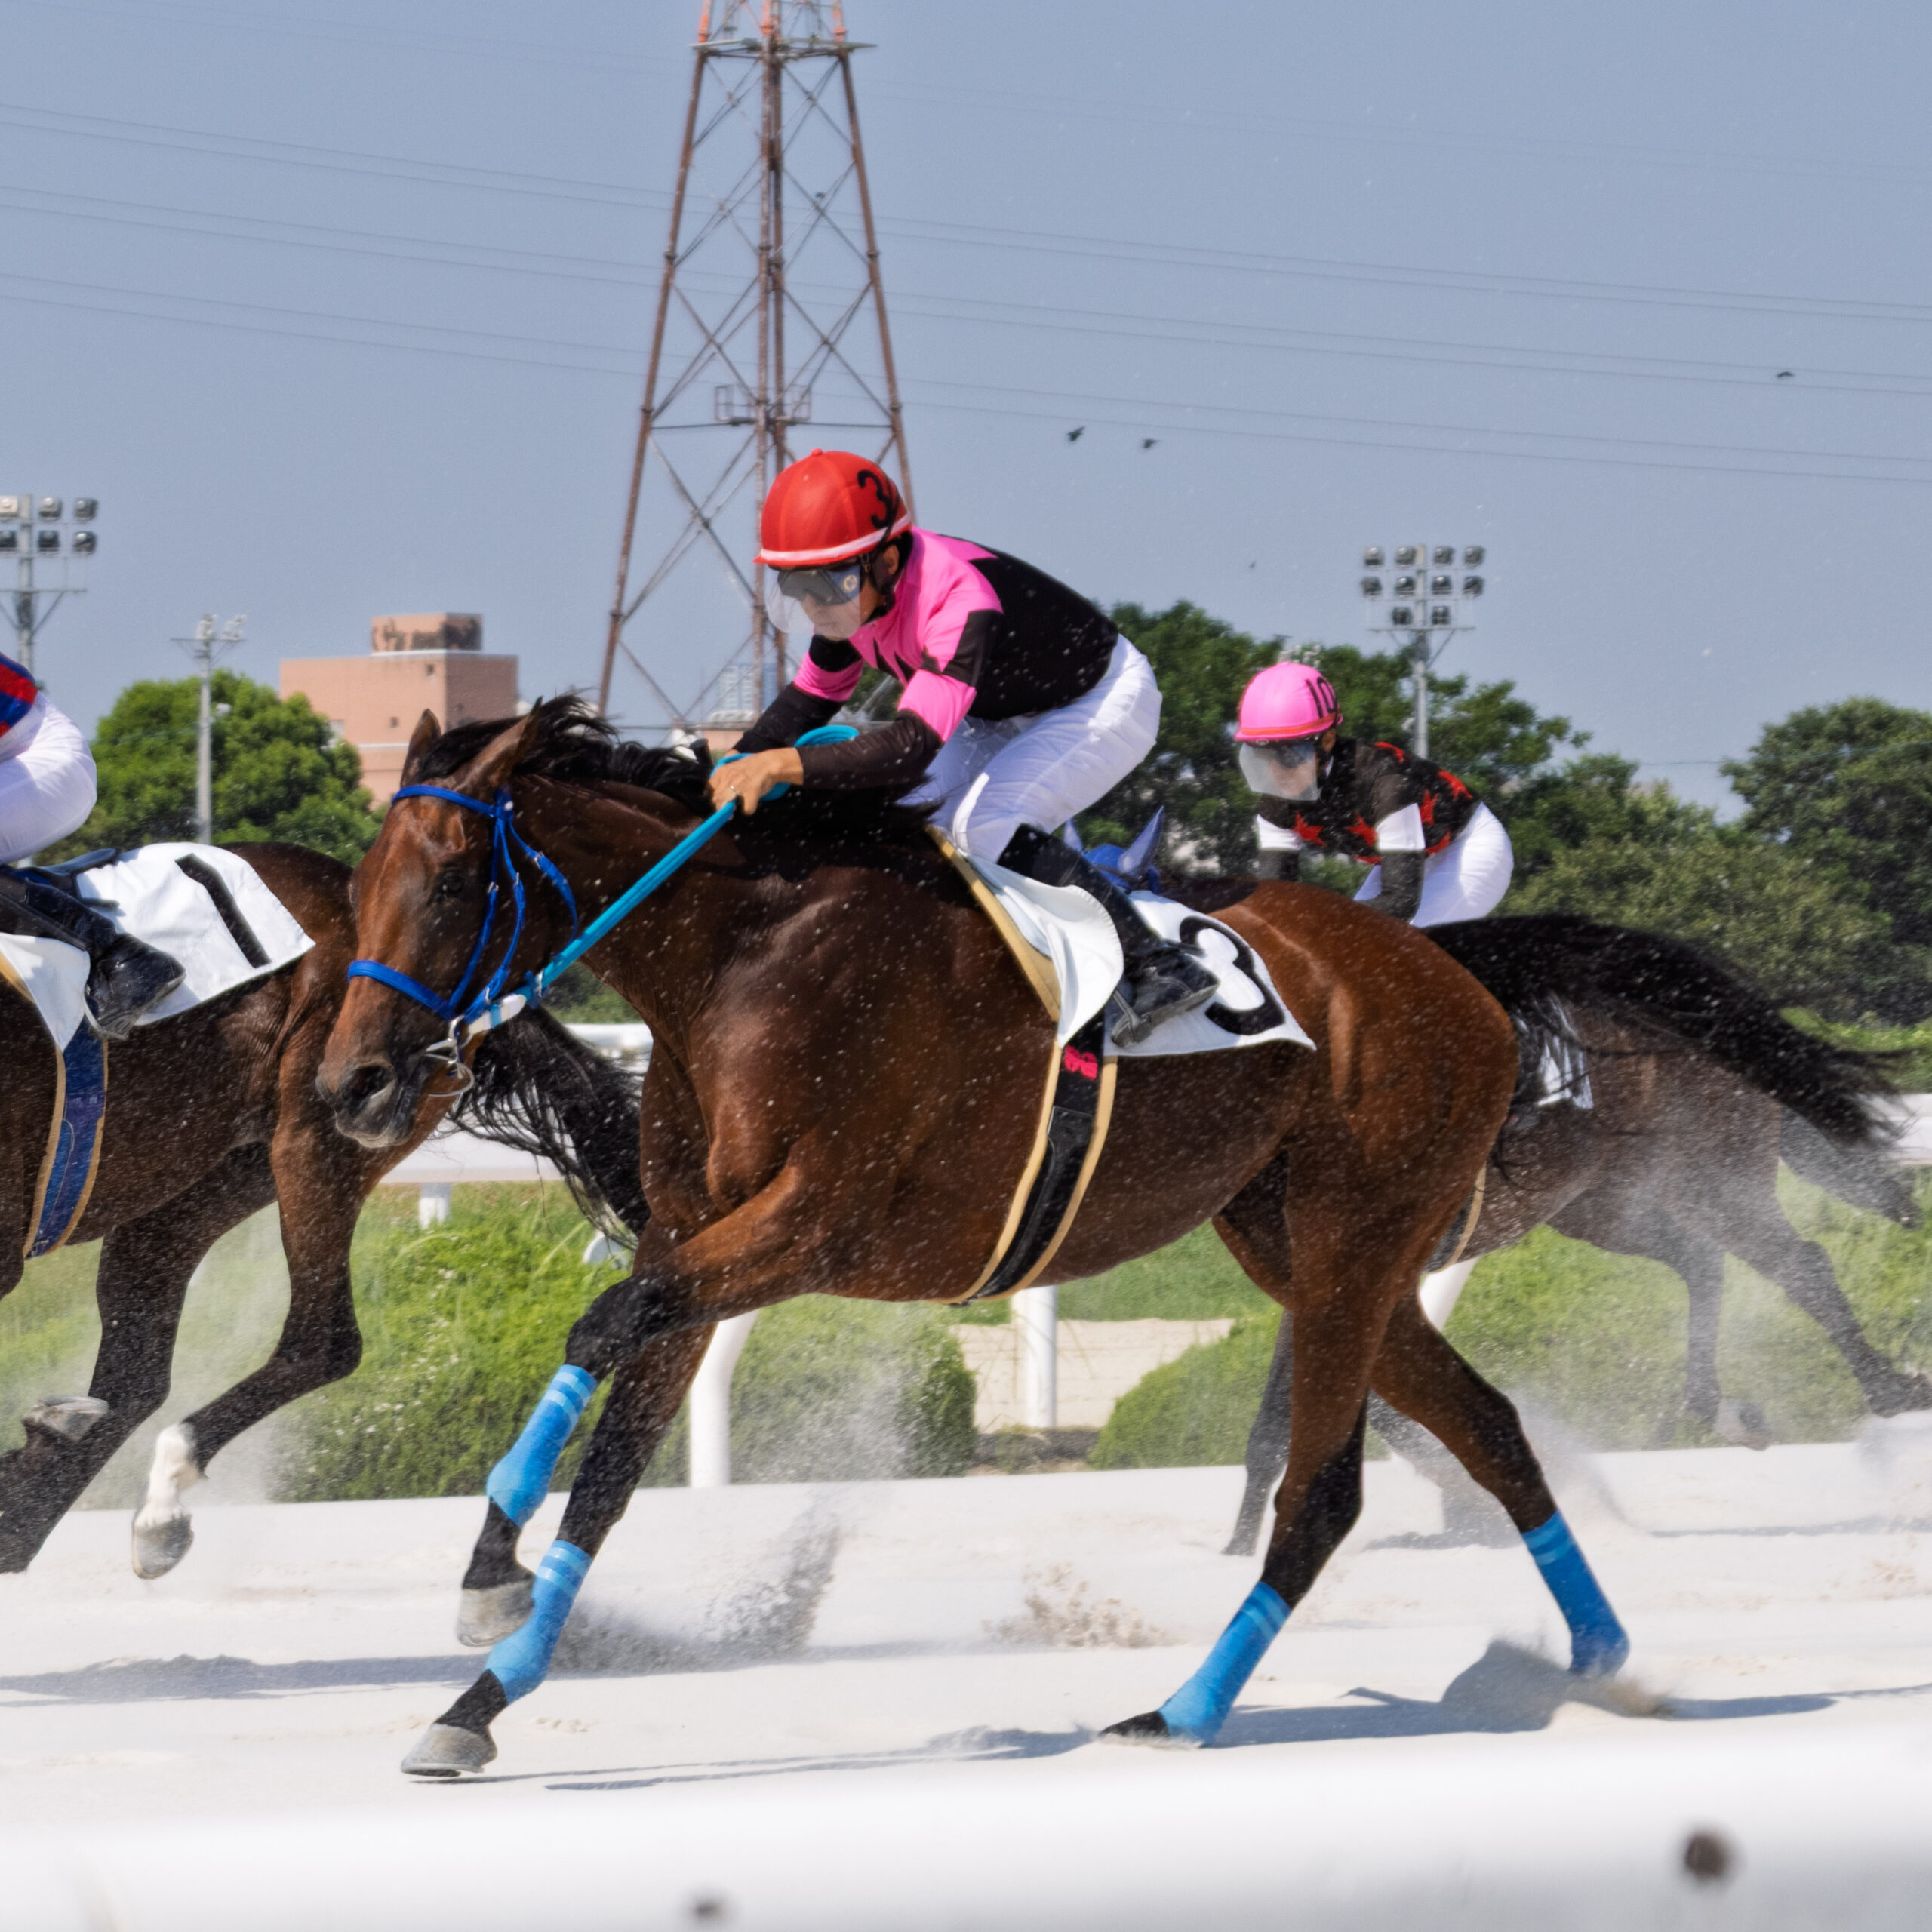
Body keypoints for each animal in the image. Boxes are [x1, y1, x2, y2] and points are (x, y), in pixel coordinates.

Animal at [0, 841, 645, 1578]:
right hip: (199, 1183)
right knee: (135, 1373)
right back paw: (35, 1493)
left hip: (320, 1136)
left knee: (322, 1340)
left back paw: (141, 1500)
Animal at [321, 697, 1633, 1775]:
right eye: (364, 882)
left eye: (451, 884)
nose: (352, 1086)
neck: (744, 961)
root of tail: (1456, 976)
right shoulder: (695, 1246)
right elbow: (610, 1471)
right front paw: (480, 1699)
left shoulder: (808, 1228)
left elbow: (598, 1327)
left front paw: (489, 1573)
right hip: (1310, 1256)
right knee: (1488, 1425)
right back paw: (1601, 1656)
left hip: (1355, 1245)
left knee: (1323, 1497)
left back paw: (1186, 1711)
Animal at [1224, 914, 1917, 1555]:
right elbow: (1311, 1414)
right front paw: (1240, 1547)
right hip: (1604, 1202)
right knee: (1700, 1260)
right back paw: (1722, 1409)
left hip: (1714, 1177)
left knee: (1801, 1264)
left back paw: (1892, 1390)